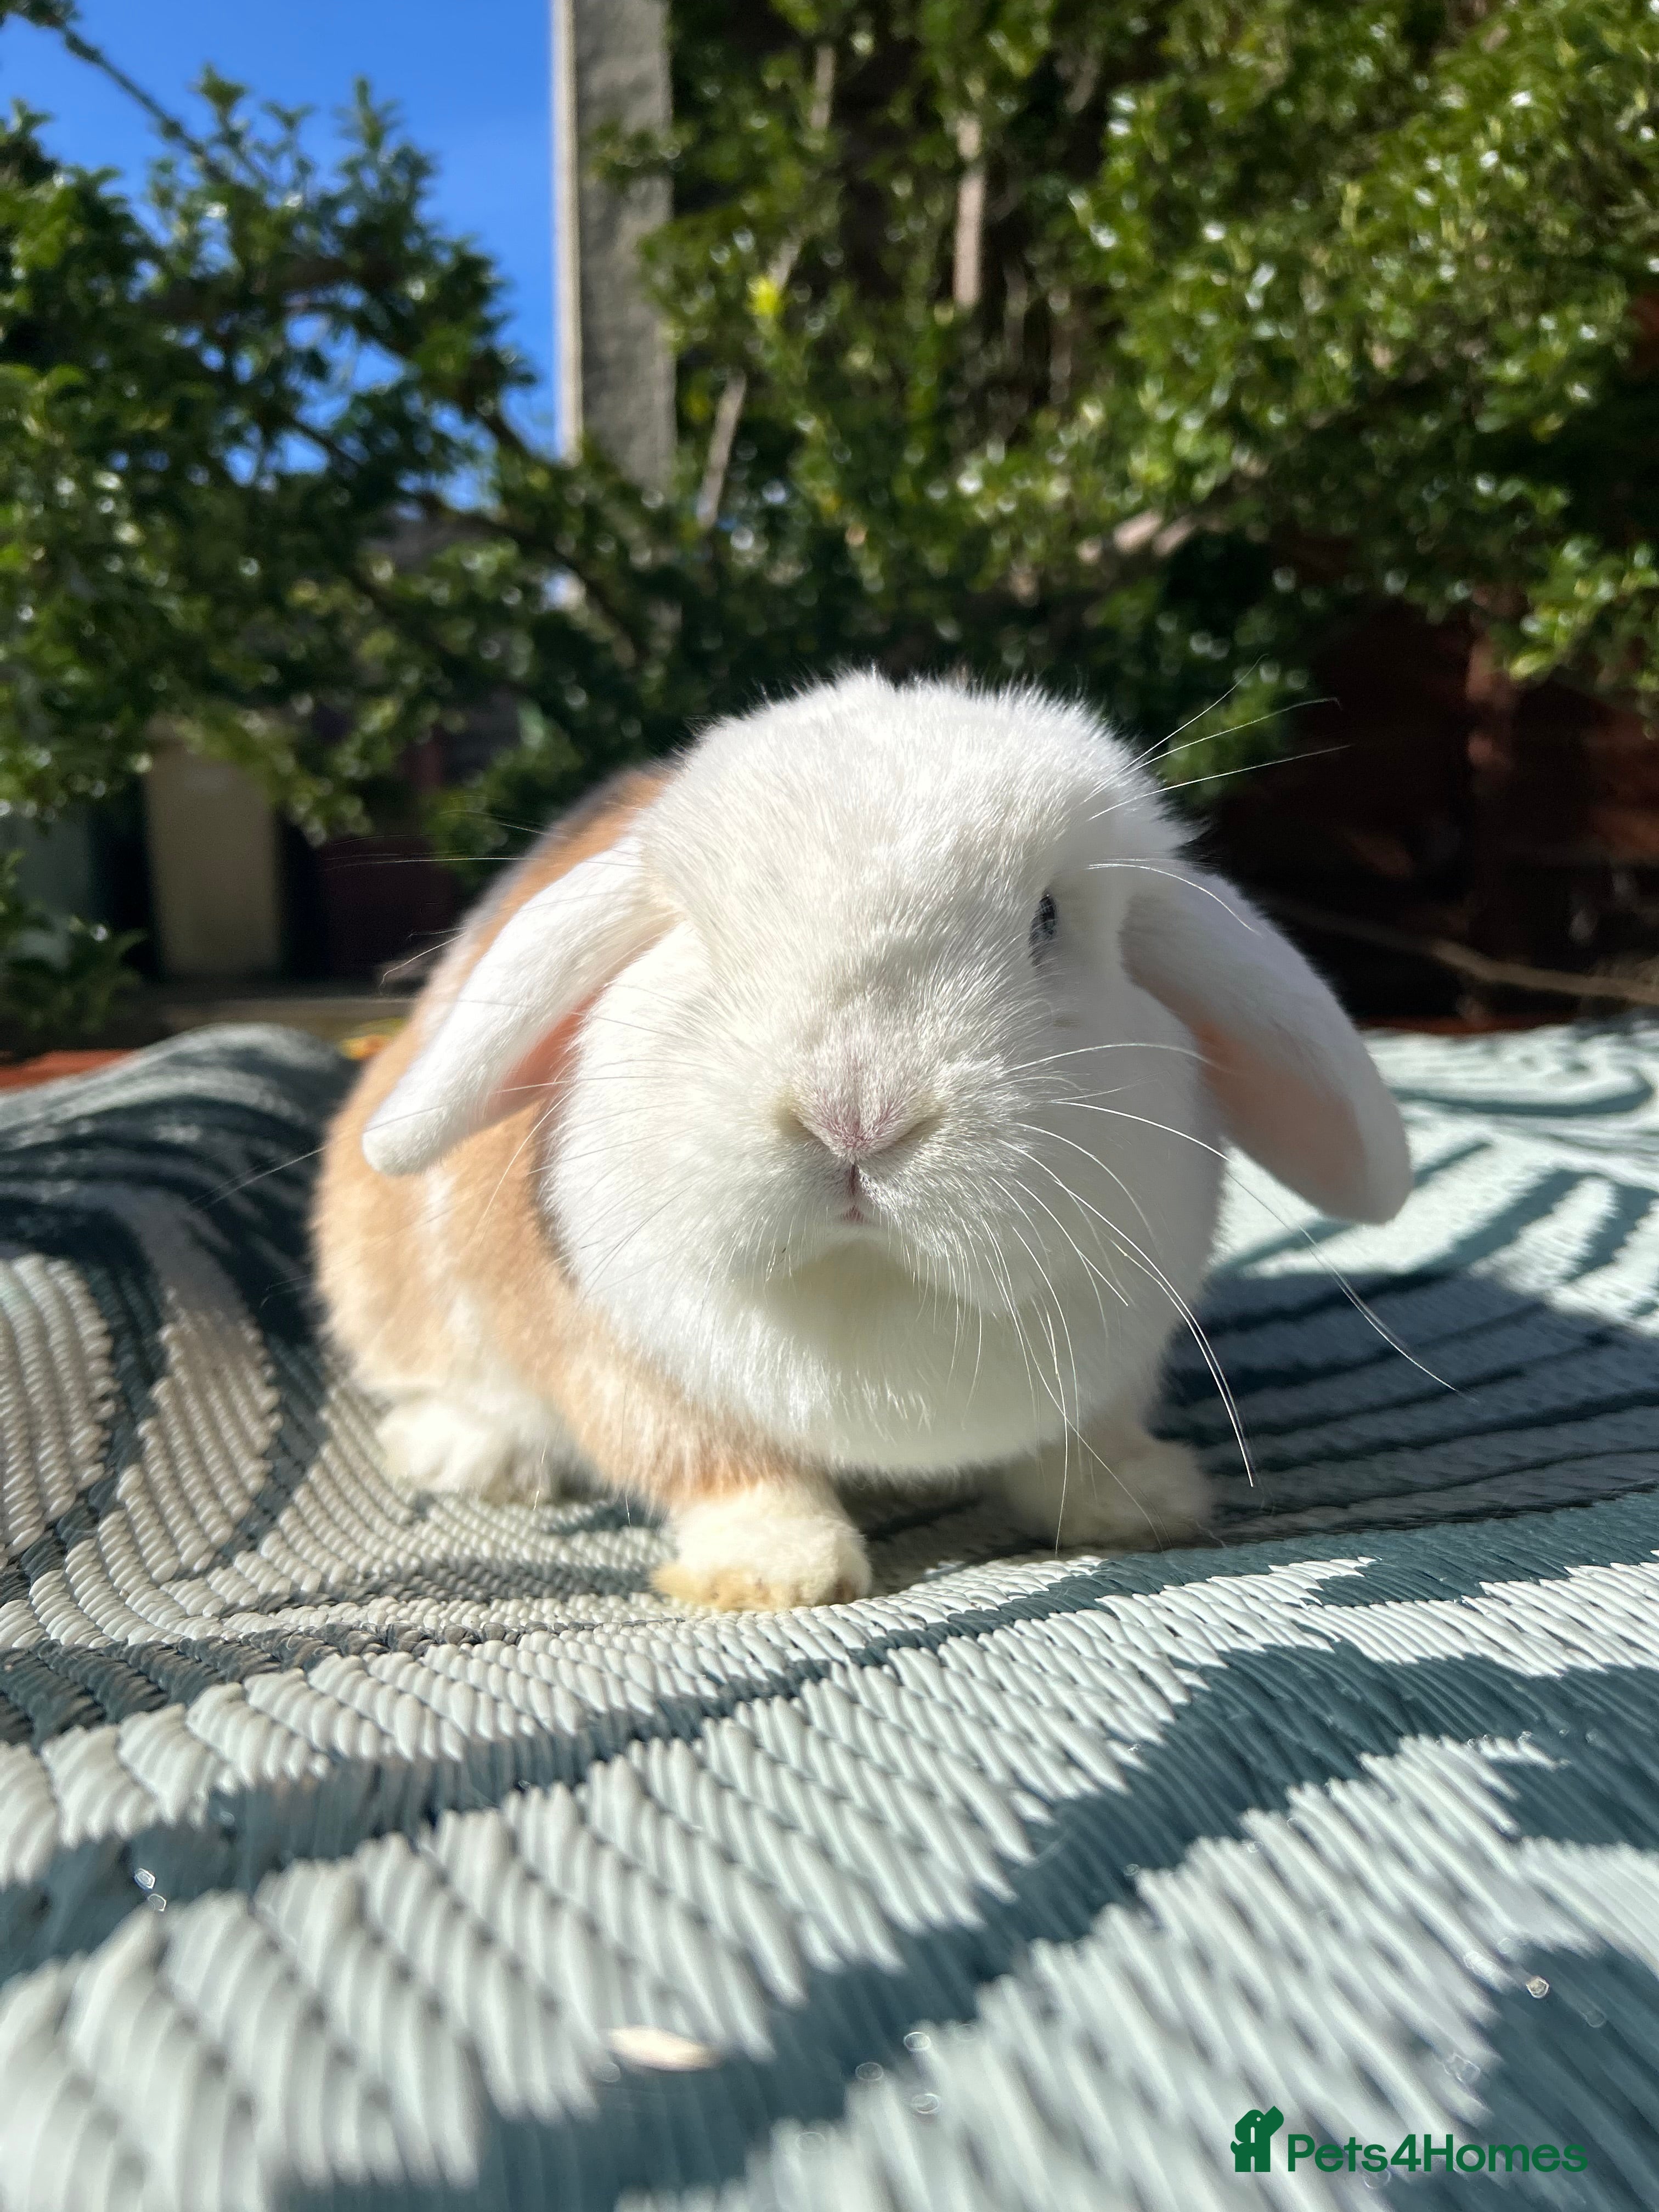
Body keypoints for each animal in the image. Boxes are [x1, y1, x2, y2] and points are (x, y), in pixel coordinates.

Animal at [314, 671, 1411, 1610]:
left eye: (1048, 920)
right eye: (706, 937)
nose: (857, 1116)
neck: (866, 1280)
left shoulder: (1109, 1368)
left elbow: (1079, 1446)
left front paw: (1142, 1504)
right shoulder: (624, 1367)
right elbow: (719, 1466)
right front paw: (776, 1570)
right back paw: (471, 1452)